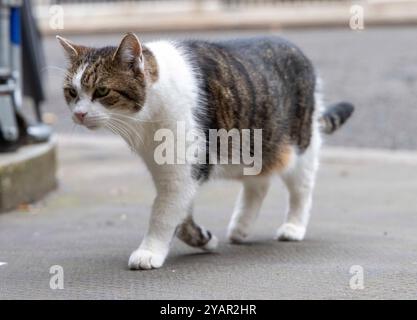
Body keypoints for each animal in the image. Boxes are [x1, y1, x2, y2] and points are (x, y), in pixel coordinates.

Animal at [57, 32, 352, 268]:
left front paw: (149, 251)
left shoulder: (181, 173)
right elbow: (180, 216)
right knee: (258, 184)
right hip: (253, 147)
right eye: (71, 92)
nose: (79, 114)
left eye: (101, 91)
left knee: (301, 189)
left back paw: (293, 227)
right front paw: (204, 240)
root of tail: (294, 47)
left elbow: (162, 213)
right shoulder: (174, 171)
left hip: (299, 145)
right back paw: (241, 228)